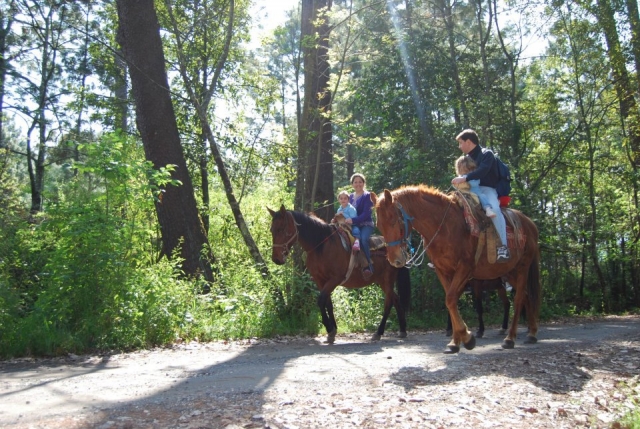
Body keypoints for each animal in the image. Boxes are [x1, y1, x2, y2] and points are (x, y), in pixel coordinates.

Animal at [268, 205, 411, 344]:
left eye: (281, 229)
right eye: (272, 230)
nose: (276, 259)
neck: (321, 245)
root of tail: (399, 248)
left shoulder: (335, 279)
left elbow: (321, 300)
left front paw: (329, 328)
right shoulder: (320, 280)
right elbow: (328, 303)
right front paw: (333, 331)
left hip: (388, 279)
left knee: (389, 303)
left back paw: (378, 332)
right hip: (381, 281)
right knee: (396, 299)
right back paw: (402, 330)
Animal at [372, 186, 541, 353]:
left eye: (394, 221)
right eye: (379, 225)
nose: (395, 260)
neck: (445, 226)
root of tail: (530, 224)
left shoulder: (465, 268)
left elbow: (451, 299)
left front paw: (467, 337)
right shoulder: (443, 271)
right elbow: (450, 301)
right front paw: (455, 341)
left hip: (522, 267)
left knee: (519, 299)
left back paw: (510, 338)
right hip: (509, 271)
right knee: (526, 296)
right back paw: (531, 333)